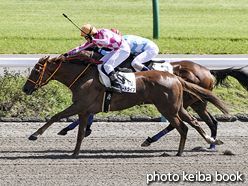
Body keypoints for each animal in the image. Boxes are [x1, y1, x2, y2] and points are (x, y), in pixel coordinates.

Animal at [22, 56, 228, 156]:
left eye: (37, 70)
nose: (25, 89)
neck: (82, 77)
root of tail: (175, 77)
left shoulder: (80, 106)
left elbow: (56, 116)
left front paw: (34, 135)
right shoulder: (85, 110)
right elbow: (80, 133)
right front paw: (74, 153)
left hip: (169, 109)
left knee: (183, 127)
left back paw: (179, 152)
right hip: (180, 107)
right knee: (195, 122)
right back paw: (212, 141)